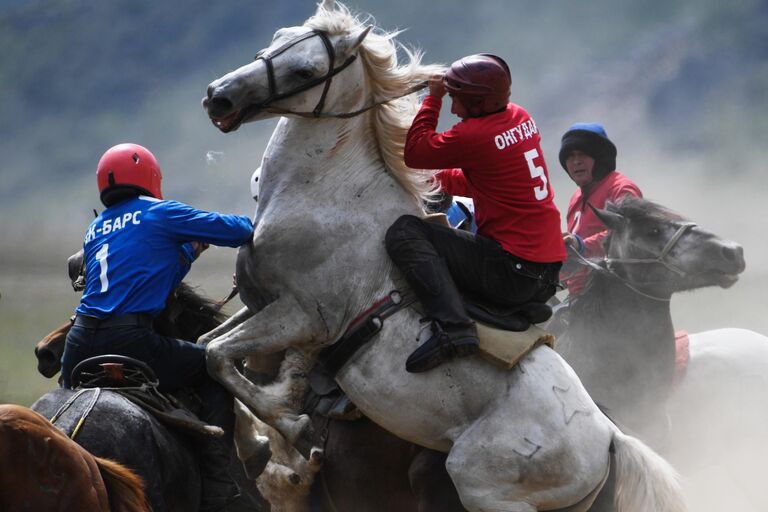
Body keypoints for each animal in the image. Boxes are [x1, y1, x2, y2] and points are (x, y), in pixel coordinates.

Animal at [201, 2, 688, 510]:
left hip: (480, 485)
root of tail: (610, 437)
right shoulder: (259, 305)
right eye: (279, 36)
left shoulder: (301, 318)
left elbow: (218, 357)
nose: (219, 97)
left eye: (306, 71)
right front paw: (258, 437)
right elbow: (207, 348)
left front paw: (293, 428)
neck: (330, 197)